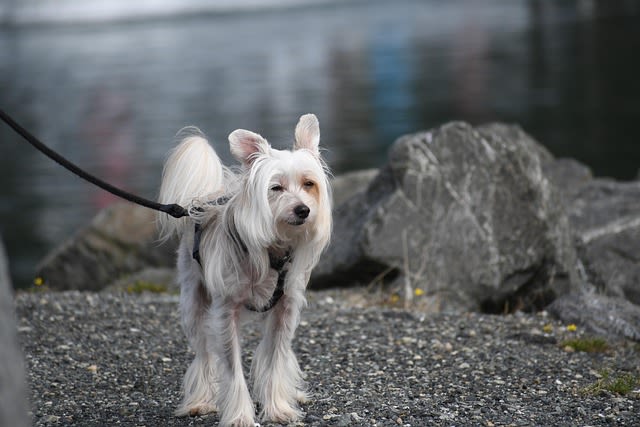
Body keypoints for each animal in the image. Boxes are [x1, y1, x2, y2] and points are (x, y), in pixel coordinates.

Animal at [158, 114, 332, 427]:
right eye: (276, 188)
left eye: (309, 184)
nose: (303, 210)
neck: (274, 251)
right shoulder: (225, 313)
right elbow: (232, 369)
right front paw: (240, 415)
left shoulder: (285, 310)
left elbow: (275, 360)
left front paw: (278, 408)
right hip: (193, 301)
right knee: (204, 355)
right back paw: (200, 400)